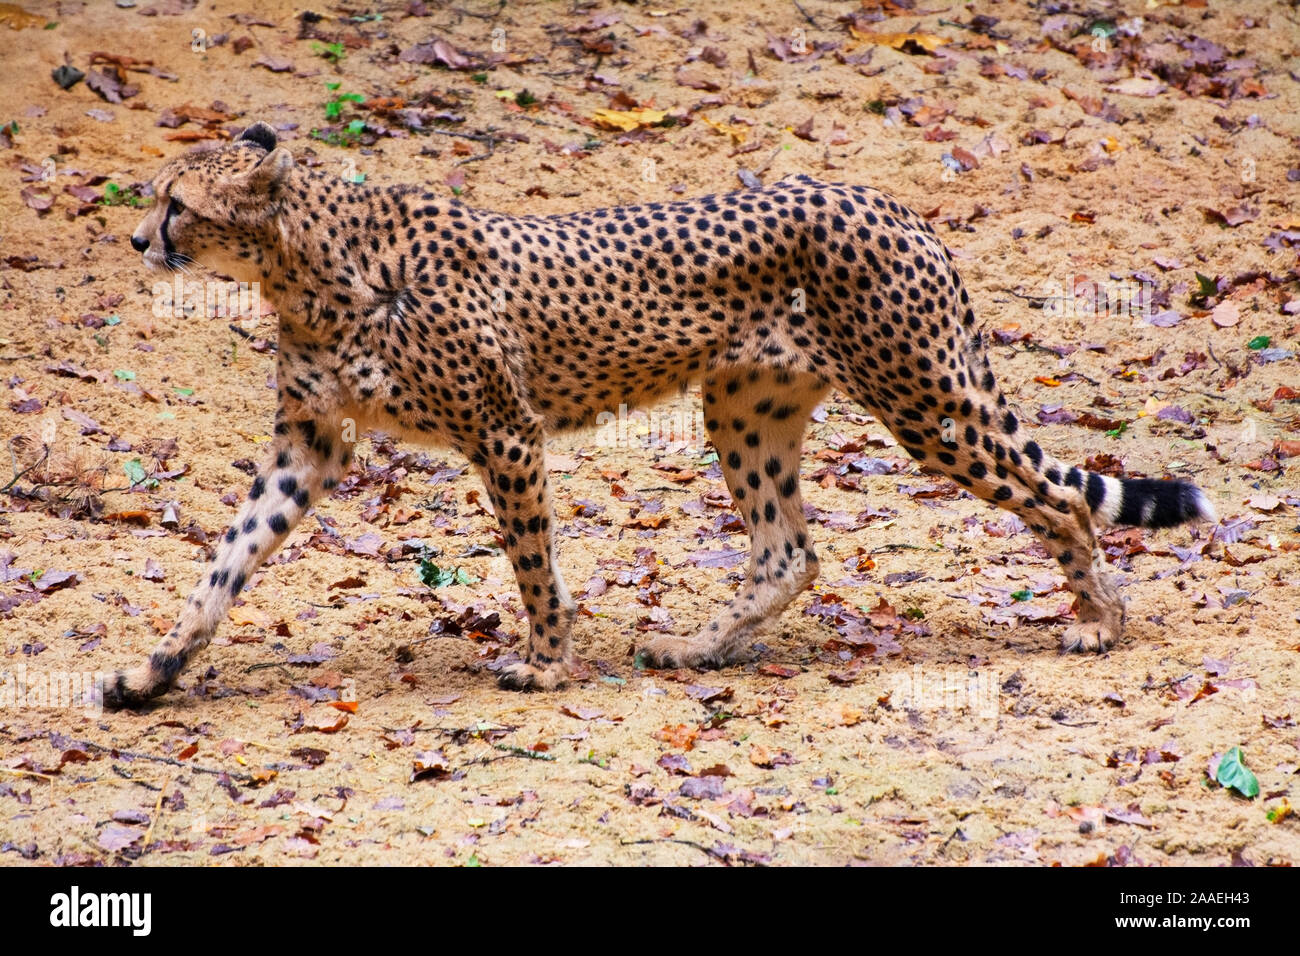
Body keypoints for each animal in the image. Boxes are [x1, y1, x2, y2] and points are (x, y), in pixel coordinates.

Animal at [98, 121, 1206, 712]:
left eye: (177, 203)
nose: (140, 240)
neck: (310, 267)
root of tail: (889, 202)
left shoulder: (504, 431)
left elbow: (532, 560)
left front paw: (548, 661)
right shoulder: (308, 443)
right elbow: (225, 561)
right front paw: (154, 670)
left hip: (924, 398)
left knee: (1061, 499)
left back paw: (1099, 623)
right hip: (746, 404)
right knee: (788, 550)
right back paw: (696, 650)